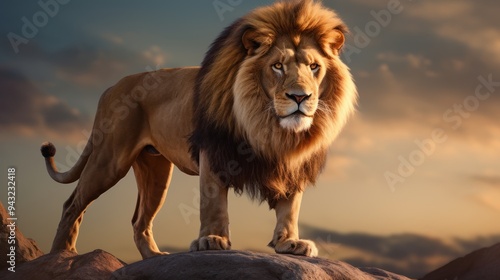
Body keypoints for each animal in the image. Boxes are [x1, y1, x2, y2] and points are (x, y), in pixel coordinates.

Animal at [41, 0, 358, 258]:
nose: (300, 97)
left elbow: (289, 208)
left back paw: (154, 257)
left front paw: (289, 243)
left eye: (314, 67)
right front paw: (212, 240)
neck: (269, 127)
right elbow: (213, 202)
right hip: (109, 159)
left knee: (139, 221)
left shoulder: (294, 165)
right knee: (72, 204)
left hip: (155, 170)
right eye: (278, 66)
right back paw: (61, 254)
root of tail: (111, 87)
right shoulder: (213, 151)